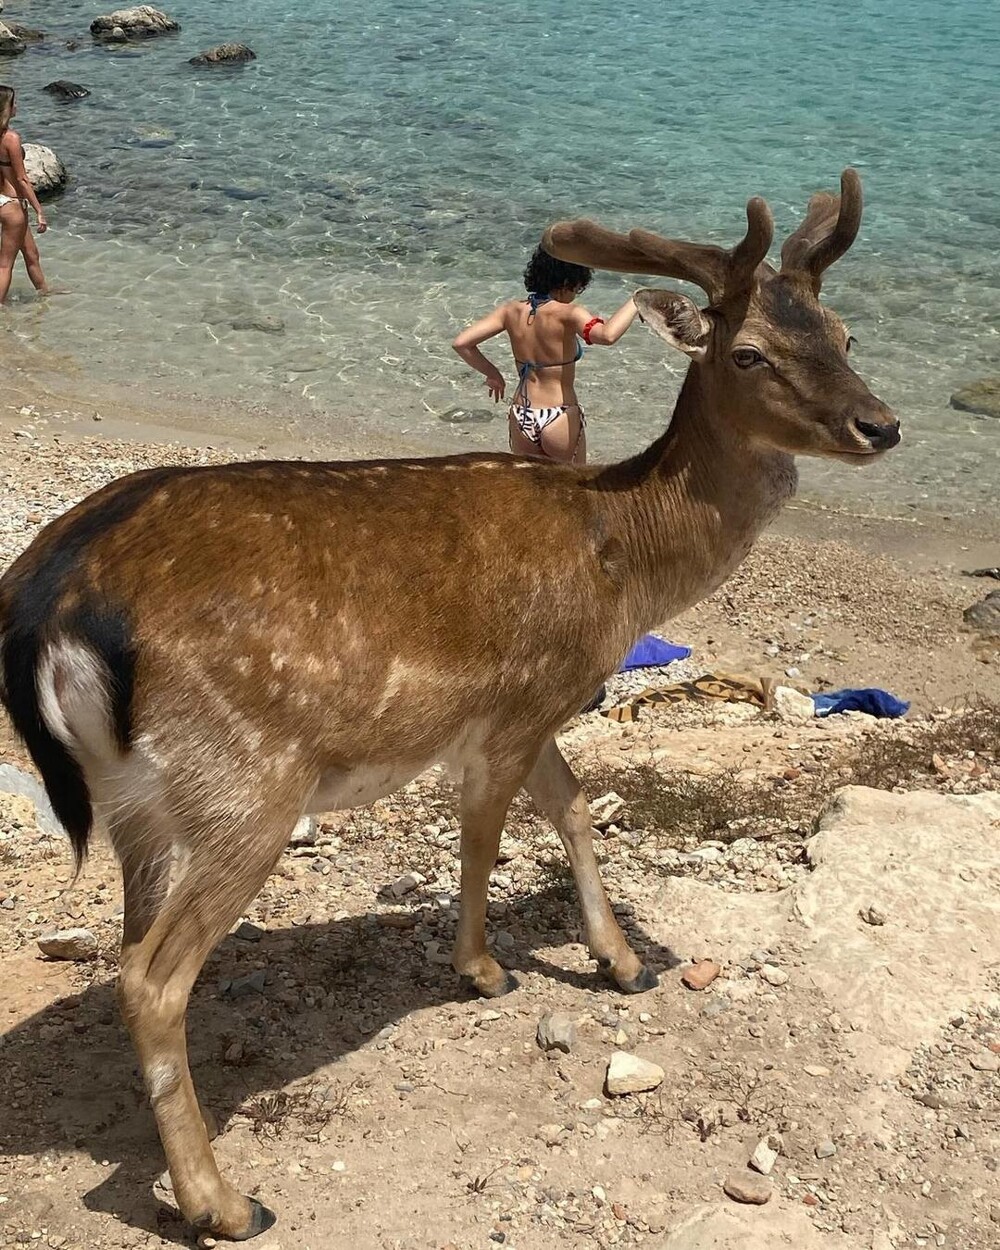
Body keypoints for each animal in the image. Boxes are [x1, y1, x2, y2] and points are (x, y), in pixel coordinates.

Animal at [0, 168, 900, 1240]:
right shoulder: (517, 701)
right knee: (151, 975)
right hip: (245, 781)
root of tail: (51, 603)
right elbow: (488, 835)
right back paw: (224, 1201)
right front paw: (485, 969)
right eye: (751, 352)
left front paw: (622, 962)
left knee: (128, 947)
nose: (882, 425)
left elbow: (573, 811)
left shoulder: (539, 710)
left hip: (136, 798)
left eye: (845, 333)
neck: (622, 562)